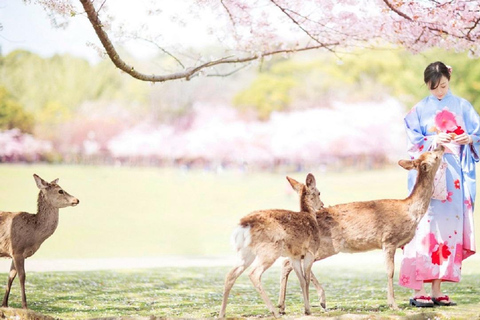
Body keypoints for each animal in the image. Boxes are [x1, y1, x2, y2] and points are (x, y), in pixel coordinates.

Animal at [0, 174, 79, 308]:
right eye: (60, 190)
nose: (77, 200)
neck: (34, 235)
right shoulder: (17, 250)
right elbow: (22, 276)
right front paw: (25, 306)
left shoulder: (14, 253)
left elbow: (10, 276)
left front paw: (4, 305)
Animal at [219, 172, 324, 318]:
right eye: (319, 192)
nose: (322, 205)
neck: (310, 216)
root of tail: (243, 226)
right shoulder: (310, 251)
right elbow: (307, 279)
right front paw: (308, 310)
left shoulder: (294, 255)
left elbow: (301, 280)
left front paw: (307, 309)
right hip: (270, 250)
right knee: (254, 273)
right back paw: (274, 312)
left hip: (246, 252)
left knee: (230, 274)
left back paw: (221, 313)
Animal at [278, 145, 446, 312]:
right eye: (433, 154)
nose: (441, 146)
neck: (410, 212)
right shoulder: (389, 239)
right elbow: (390, 271)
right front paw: (393, 304)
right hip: (323, 246)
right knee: (289, 263)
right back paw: (313, 302)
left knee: (291, 263)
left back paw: (284, 306)